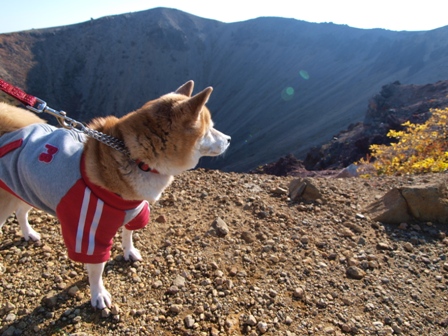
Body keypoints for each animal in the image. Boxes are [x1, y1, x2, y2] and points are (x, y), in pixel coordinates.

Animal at [0, 80, 231, 308]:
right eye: (209, 128)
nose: (229, 139)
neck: (136, 159)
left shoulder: (134, 212)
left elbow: (128, 234)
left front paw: (129, 252)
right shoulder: (89, 232)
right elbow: (97, 269)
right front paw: (98, 294)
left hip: (28, 189)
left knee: (21, 212)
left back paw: (29, 233)